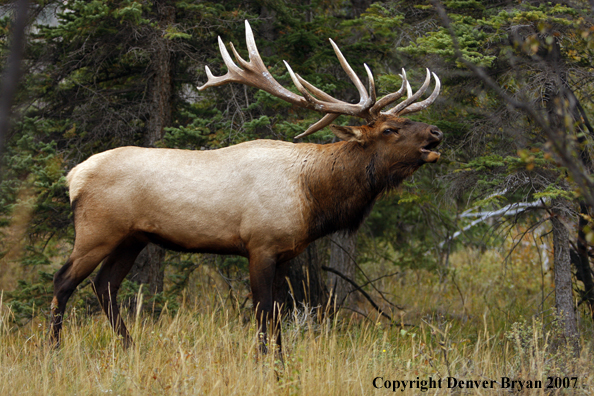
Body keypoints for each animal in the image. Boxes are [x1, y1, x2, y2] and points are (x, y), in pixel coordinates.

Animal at [49, 20, 440, 352]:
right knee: (64, 280)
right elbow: (263, 312)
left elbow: (279, 314)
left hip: (133, 237)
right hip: (97, 230)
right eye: (389, 129)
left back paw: (130, 347)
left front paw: (279, 363)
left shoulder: (285, 253)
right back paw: (54, 349)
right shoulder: (260, 244)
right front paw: (266, 362)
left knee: (105, 285)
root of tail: (74, 175)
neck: (313, 197)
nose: (435, 132)